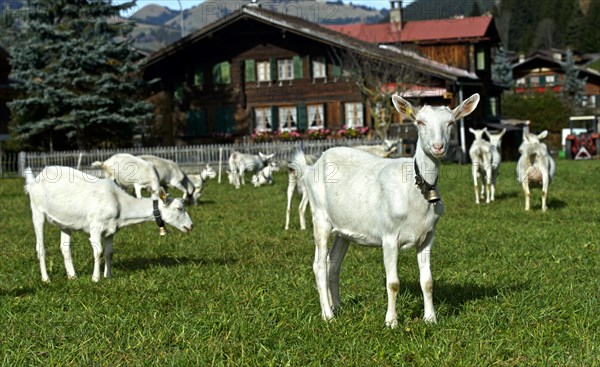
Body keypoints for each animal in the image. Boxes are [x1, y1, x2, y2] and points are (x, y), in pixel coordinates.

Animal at [24, 165, 193, 284]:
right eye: (179, 208)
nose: (191, 226)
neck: (119, 203)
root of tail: (35, 179)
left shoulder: (111, 230)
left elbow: (109, 253)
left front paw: (108, 276)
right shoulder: (95, 227)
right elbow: (98, 252)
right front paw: (95, 278)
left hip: (65, 222)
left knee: (65, 248)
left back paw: (72, 276)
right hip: (37, 211)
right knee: (40, 247)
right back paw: (46, 279)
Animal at [292, 92, 480, 328]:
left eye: (451, 123)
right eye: (420, 122)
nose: (438, 147)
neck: (415, 187)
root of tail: (310, 168)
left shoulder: (428, 236)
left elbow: (427, 281)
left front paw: (430, 319)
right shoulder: (389, 237)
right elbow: (393, 283)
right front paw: (391, 322)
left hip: (343, 229)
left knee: (333, 264)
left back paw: (338, 307)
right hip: (320, 216)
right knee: (318, 265)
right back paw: (328, 315)